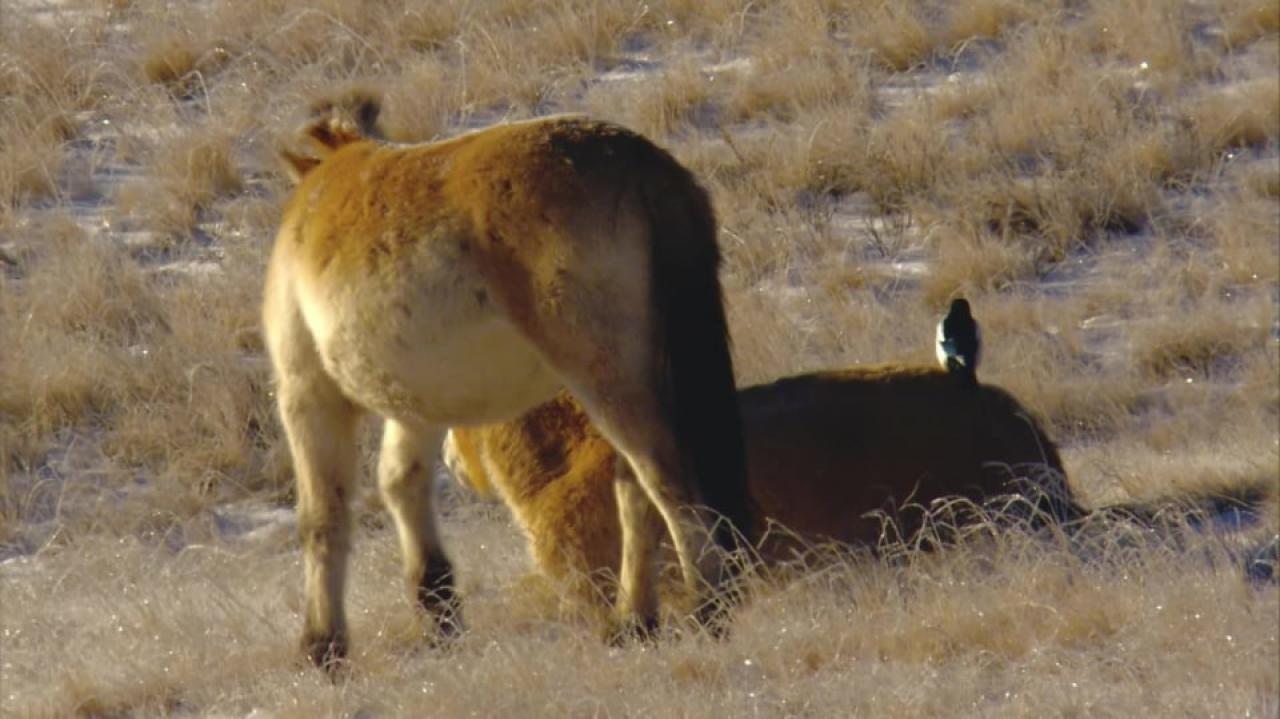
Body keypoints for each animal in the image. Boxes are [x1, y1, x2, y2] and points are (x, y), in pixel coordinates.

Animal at [266, 96, 752, 665]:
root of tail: (641, 162)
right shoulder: (420, 405)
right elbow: (402, 483)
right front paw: (438, 612)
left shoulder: (307, 393)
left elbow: (323, 517)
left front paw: (322, 645)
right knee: (634, 488)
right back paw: (633, 620)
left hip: (607, 377)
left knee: (666, 483)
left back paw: (707, 607)